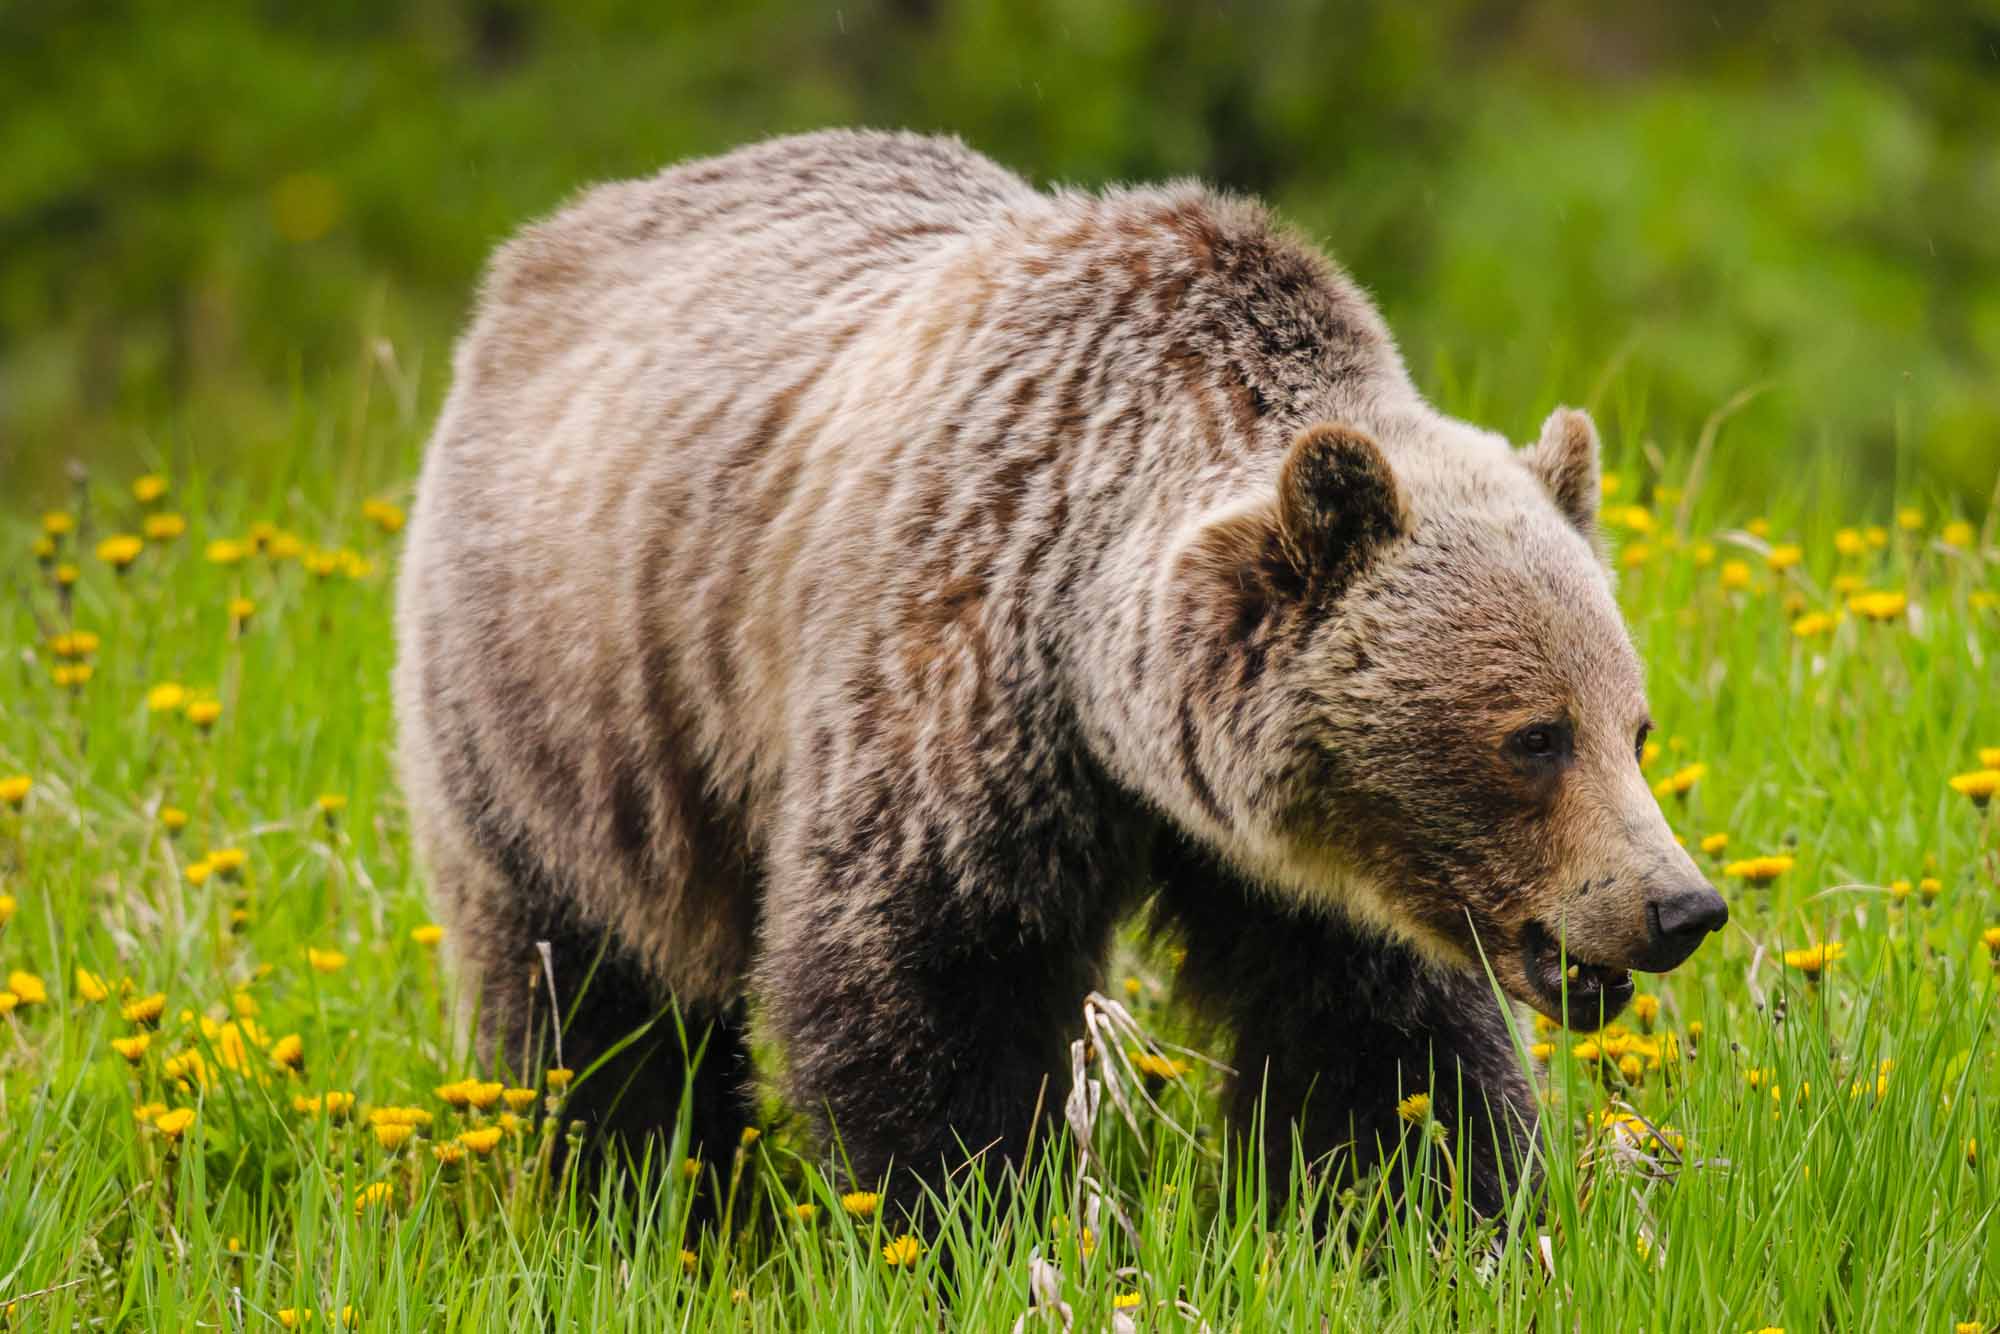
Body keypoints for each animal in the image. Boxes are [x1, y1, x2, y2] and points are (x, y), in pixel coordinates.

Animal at [390, 130, 1720, 1216]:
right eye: (1532, 736)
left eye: (1635, 728)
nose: (1678, 906)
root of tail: (541, 249)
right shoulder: (952, 680)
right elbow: (928, 984)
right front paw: (971, 1210)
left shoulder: (1294, 865)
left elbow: (1377, 1043)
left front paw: (1429, 1214)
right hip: (570, 701)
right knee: (588, 999)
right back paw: (637, 1196)